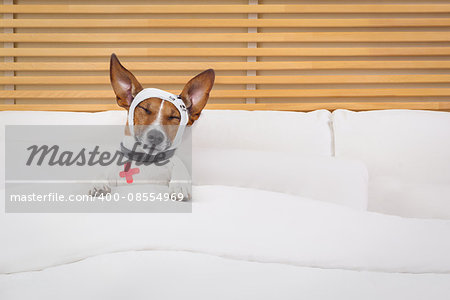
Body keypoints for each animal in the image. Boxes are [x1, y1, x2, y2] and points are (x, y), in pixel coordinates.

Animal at [89, 54, 215, 200]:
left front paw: (179, 185)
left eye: (174, 117)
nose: (155, 136)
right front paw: (99, 183)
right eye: (145, 109)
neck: (145, 160)